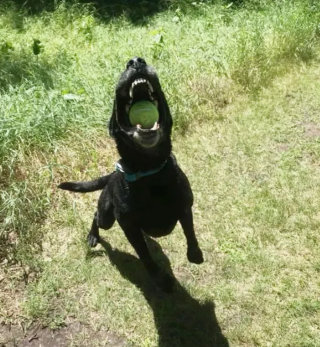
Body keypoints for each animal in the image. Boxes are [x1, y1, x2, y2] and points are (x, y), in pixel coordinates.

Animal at [58, 57, 204, 294]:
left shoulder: (185, 206)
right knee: (97, 217)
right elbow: (144, 255)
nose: (135, 61)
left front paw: (195, 254)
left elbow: (190, 231)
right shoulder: (129, 226)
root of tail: (111, 175)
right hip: (108, 216)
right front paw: (160, 280)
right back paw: (93, 236)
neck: (149, 171)